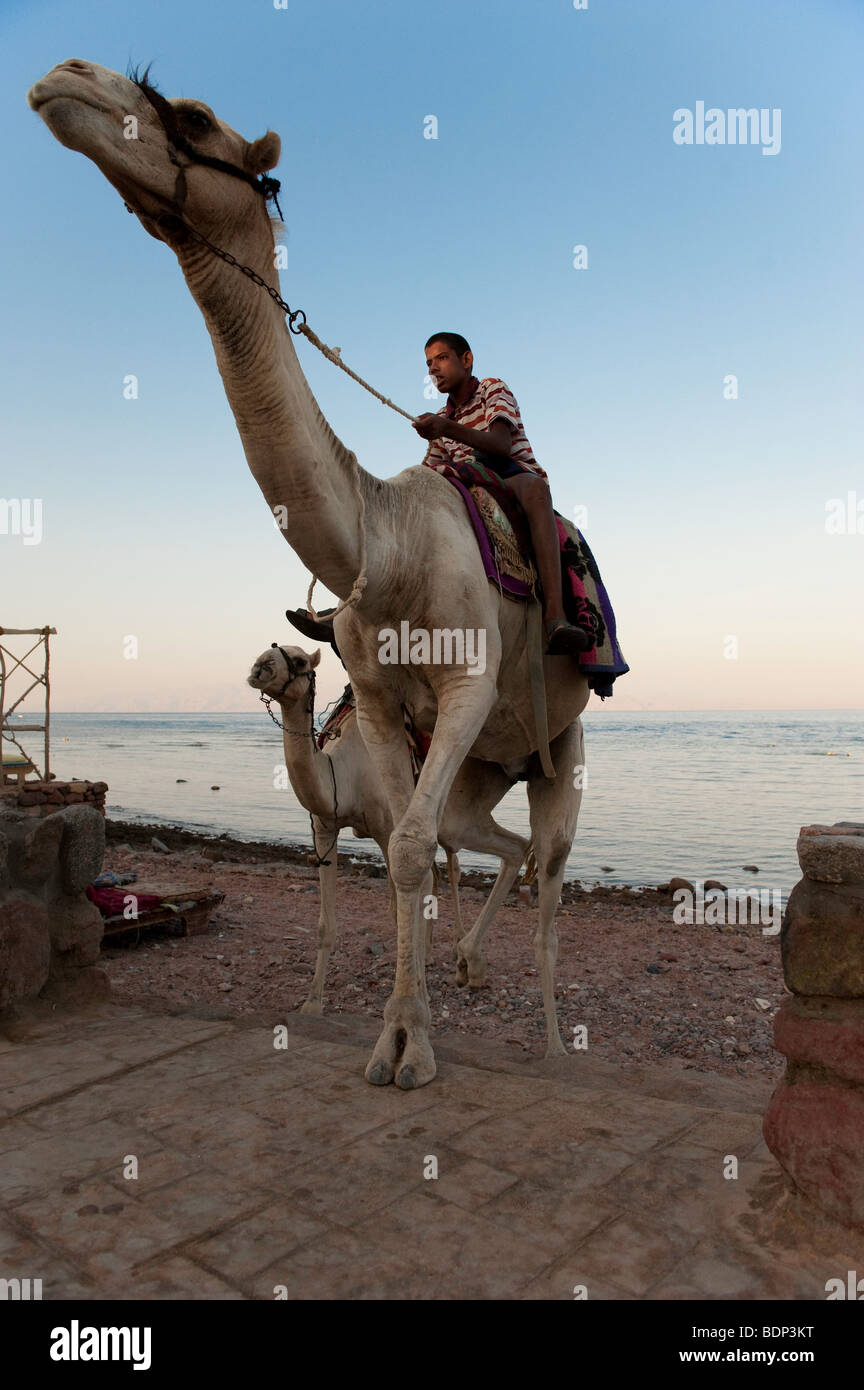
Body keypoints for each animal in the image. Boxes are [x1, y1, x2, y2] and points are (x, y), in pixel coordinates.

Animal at [246, 641, 529, 1012]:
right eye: (266, 651)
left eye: (300, 661)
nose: (260, 667)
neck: (343, 772)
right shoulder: (324, 828)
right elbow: (325, 925)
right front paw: (312, 1002)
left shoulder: (385, 831)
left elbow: (397, 911)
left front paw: (412, 993)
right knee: (445, 872)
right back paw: (443, 959)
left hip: (463, 814)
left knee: (511, 848)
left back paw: (470, 964)